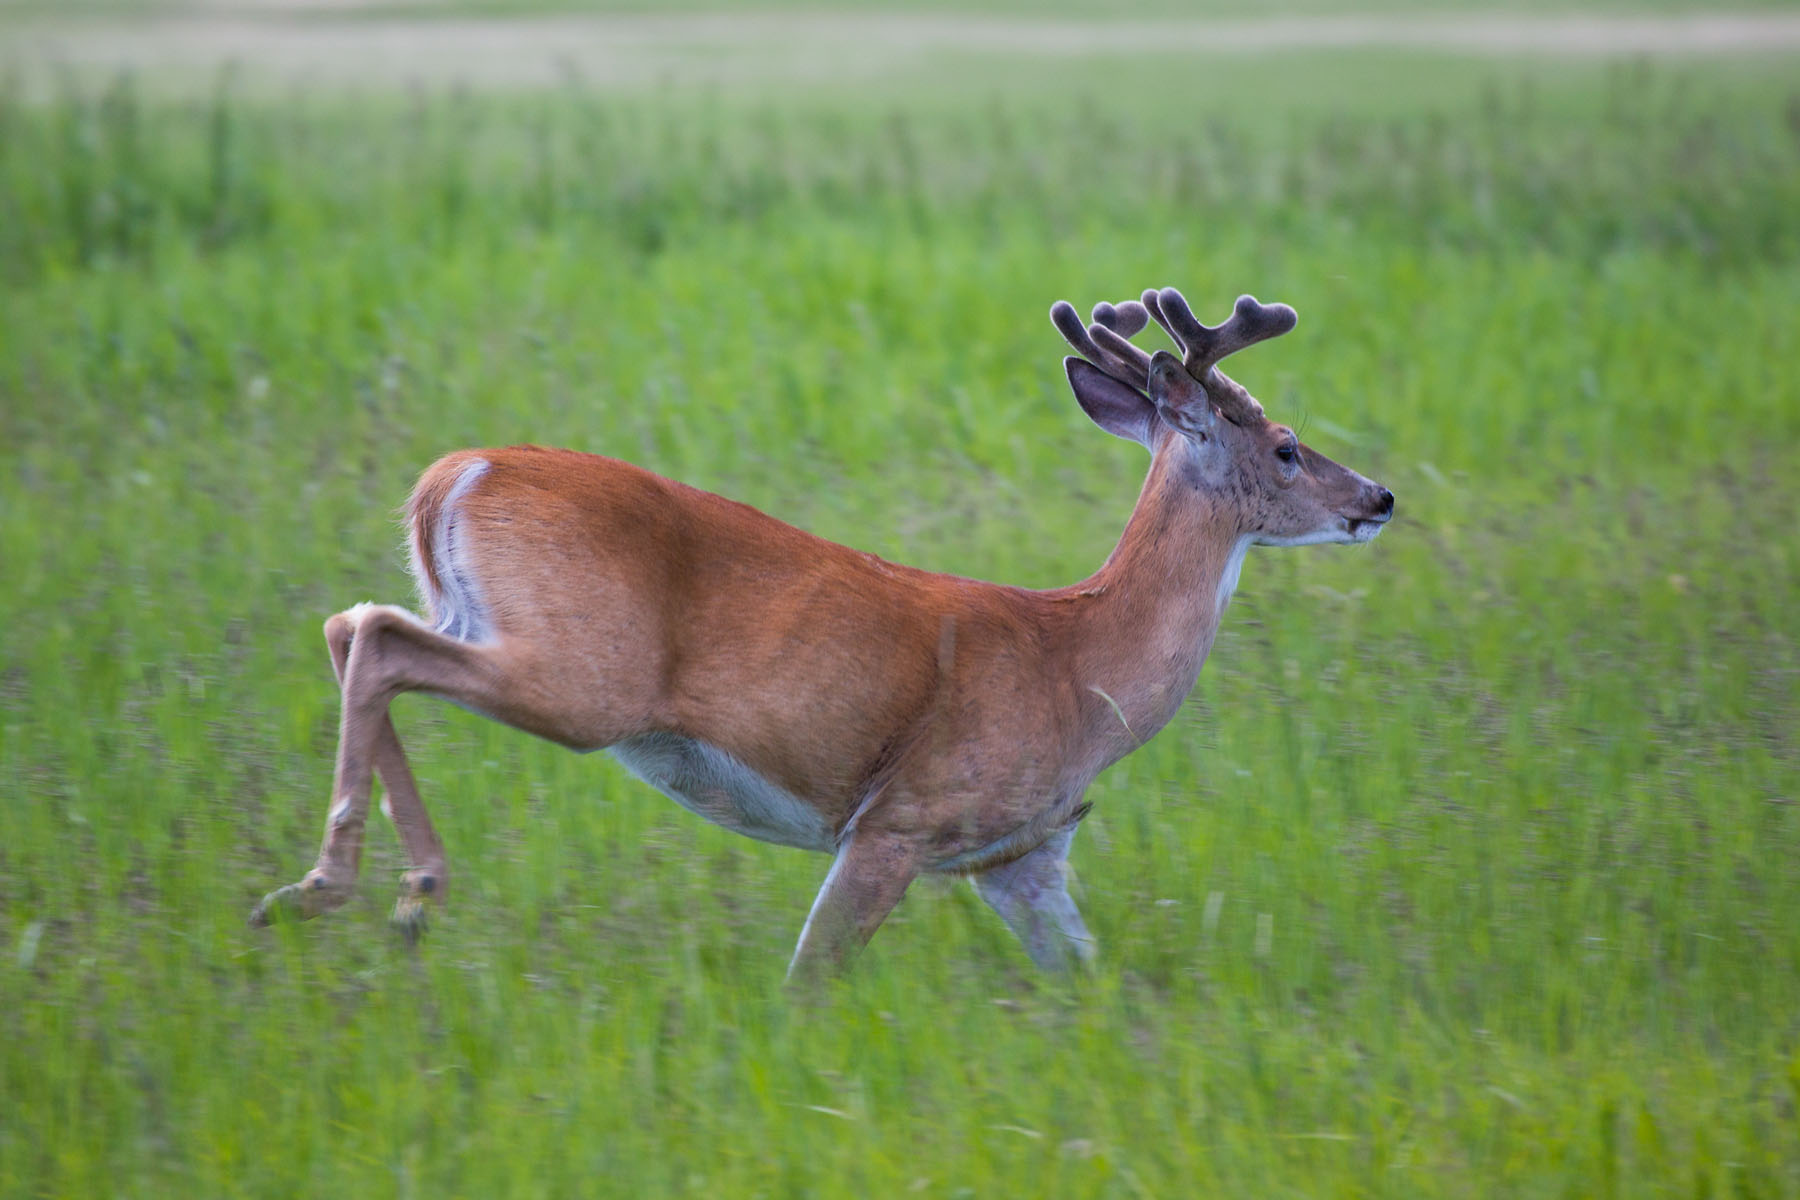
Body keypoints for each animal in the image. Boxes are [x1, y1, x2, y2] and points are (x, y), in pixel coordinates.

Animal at [250, 286, 1394, 981]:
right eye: (1287, 447)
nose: (1378, 497)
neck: (1083, 669)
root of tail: (451, 474)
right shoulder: (899, 820)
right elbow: (809, 980)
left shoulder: (1023, 856)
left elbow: (1090, 985)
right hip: (585, 674)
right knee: (377, 637)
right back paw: (346, 889)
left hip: (497, 626)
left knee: (352, 624)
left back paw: (386, 895)